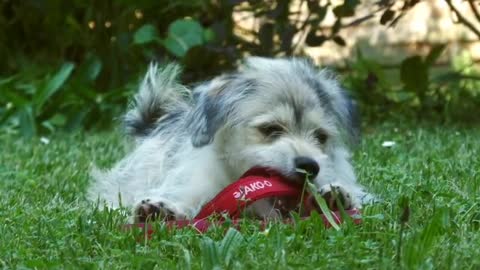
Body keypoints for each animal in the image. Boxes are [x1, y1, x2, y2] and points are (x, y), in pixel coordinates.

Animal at [88, 57, 374, 221]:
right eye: (271, 129)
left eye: (320, 137)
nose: (309, 166)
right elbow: (188, 198)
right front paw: (164, 209)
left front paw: (334, 197)